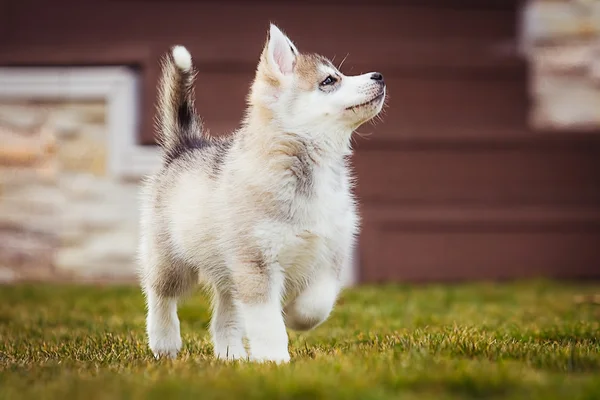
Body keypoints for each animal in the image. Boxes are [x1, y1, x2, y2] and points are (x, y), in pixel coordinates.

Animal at [138, 23, 386, 364]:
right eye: (329, 81)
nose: (379, 76)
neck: (310, 171)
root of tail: (186, 146)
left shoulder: (330, 255)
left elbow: (317, 305)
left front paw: (295, 316)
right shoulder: (257, 264)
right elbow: (267, 321)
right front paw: (273, 360)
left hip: (229, 273)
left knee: (226, 315)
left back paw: (231, 355)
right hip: (172, 261)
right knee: (160, 295)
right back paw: (165, 343)